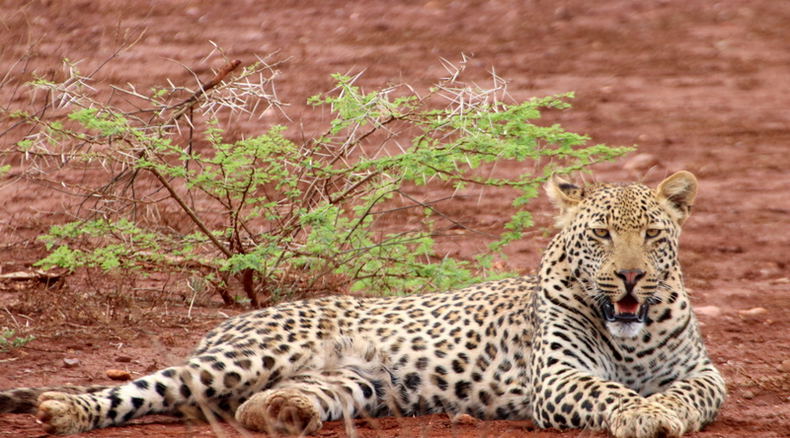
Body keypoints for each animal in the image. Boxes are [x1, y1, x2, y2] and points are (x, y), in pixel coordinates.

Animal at [0, 170, 726, 437]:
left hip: (355, 383)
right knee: (151, 386)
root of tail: (232, 321)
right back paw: (62, 409)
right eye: (601, 234)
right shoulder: (558, 379)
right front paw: (643, 414)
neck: (631, 334)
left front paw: (663, 410)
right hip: (250, 354)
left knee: (252, 404)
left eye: (651, 235)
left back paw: (279, 413)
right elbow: (611, 392)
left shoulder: (705, 372)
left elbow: (689, 393)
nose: (630, 277)